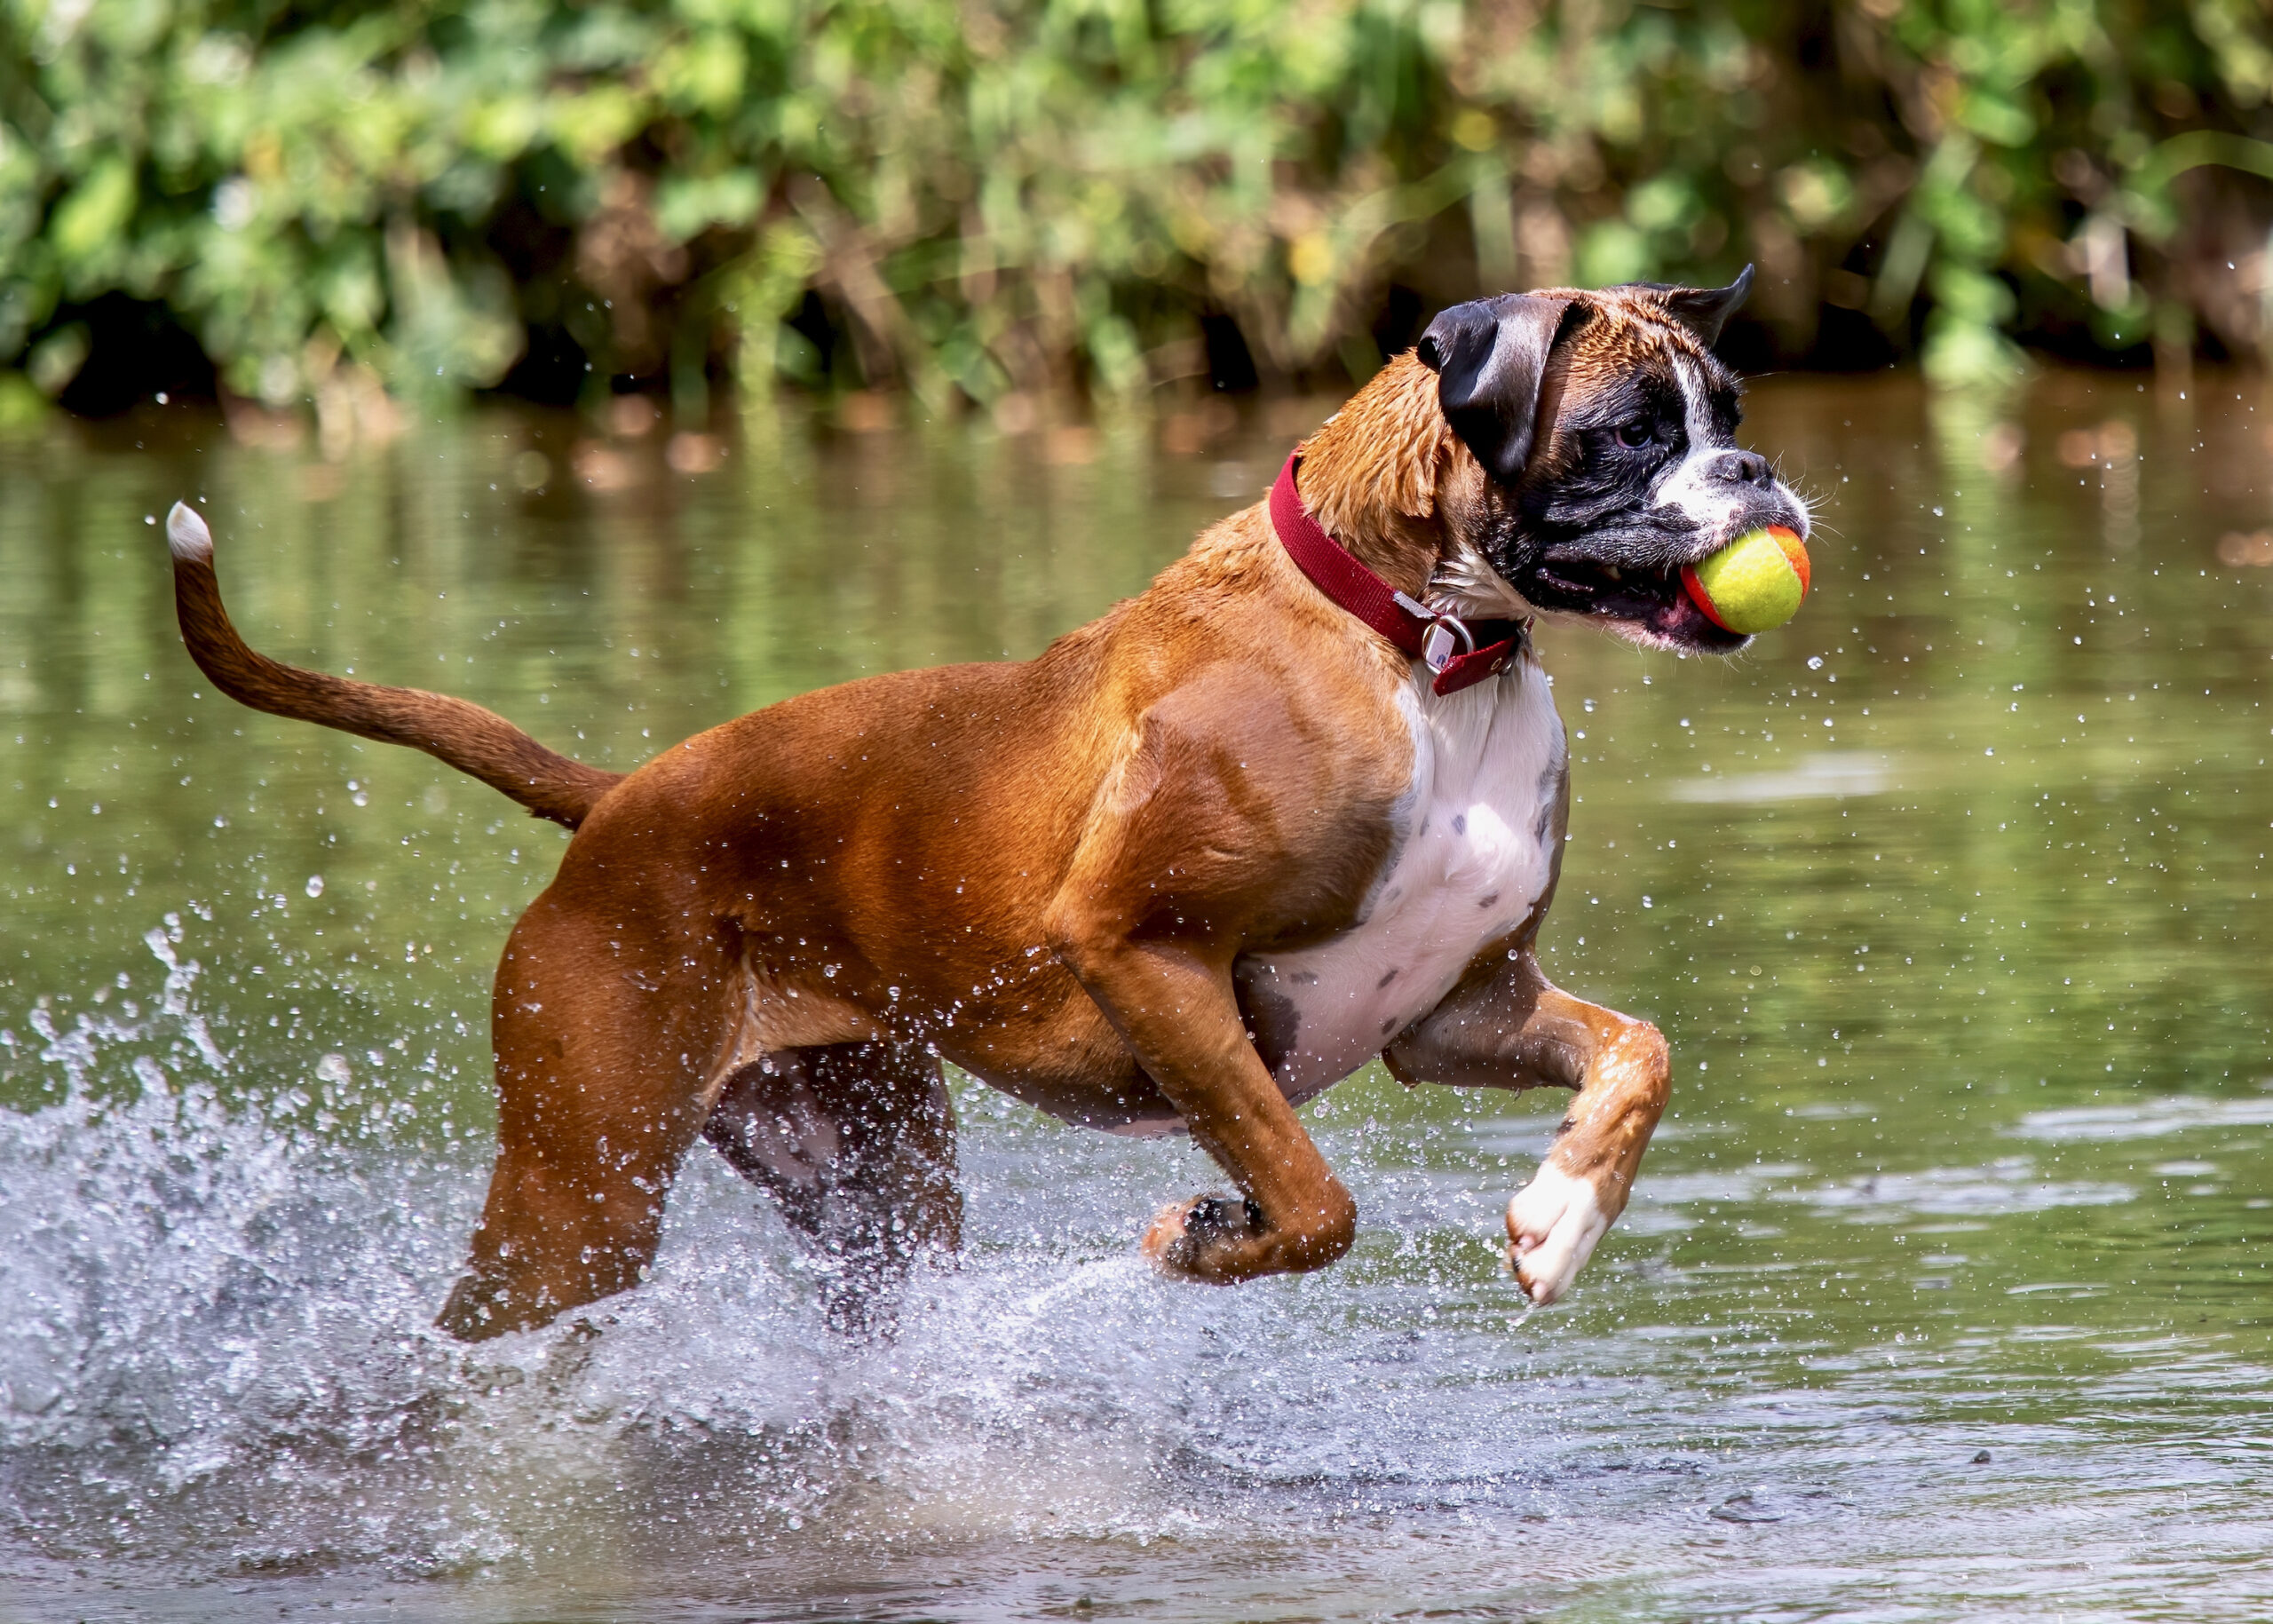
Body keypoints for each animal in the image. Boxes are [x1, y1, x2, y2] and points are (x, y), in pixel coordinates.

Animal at [160, 268, 1809, 1327]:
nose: (1758, 468)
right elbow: (1311, 1196)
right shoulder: (1145, 954)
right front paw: (1205, 1237)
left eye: (1728, 405)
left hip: (868, 1184)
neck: (1418, 643)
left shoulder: (1454, 1008)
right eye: (1624, 436)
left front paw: (1562, 1221)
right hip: (580, 1198)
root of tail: (623, 803)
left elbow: (1641, 1054)